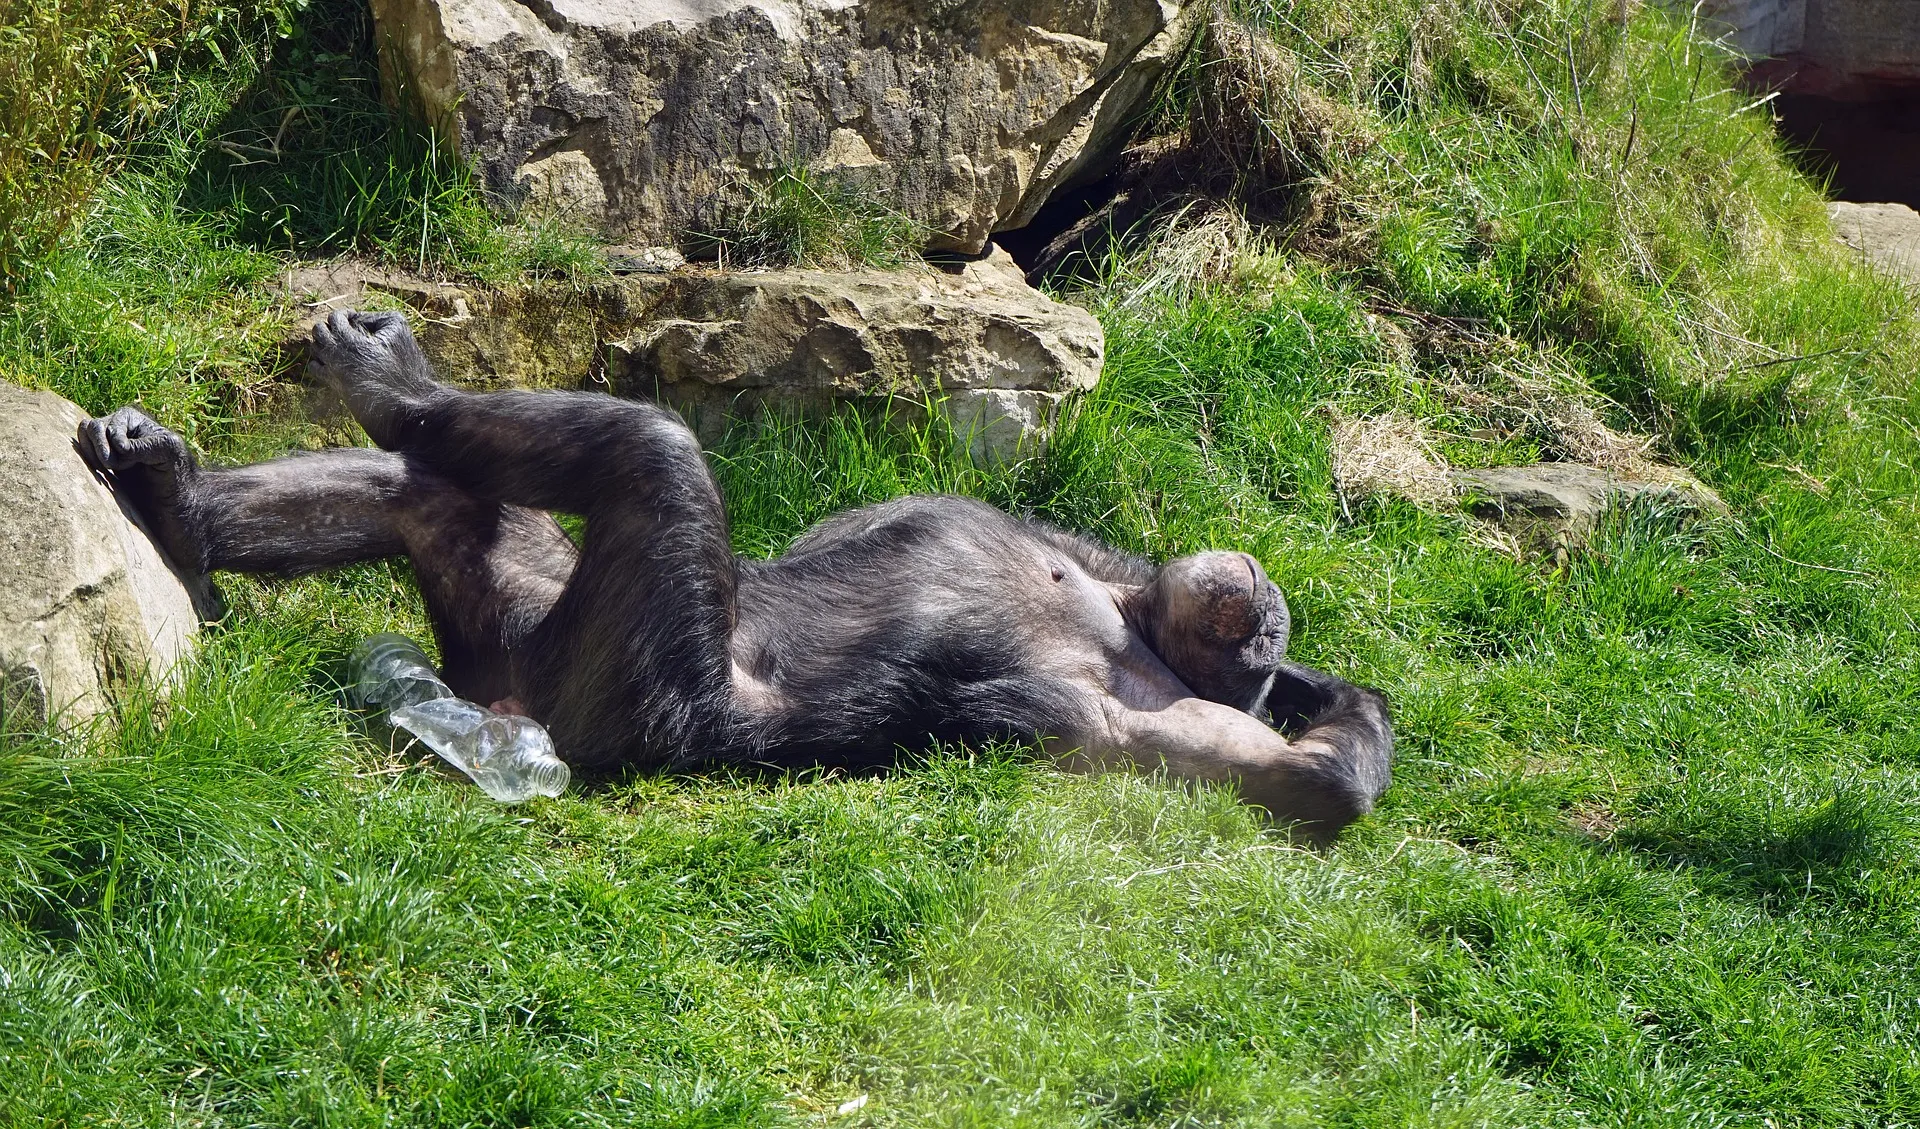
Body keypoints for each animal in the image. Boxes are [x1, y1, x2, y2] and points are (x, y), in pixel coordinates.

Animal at [78, 309, 1397, 837]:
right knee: (428, 491)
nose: (1265, 603)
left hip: (620, 676)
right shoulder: (1088, 546)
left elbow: (1308, 783)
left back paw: (391, 383)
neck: (1128, 624)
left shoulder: (1171, 726)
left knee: (647, 450)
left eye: (1258, 628)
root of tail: (499, 693)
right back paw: (179, 507)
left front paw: (1316, 703)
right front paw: (1323, 683)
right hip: (518, 598)